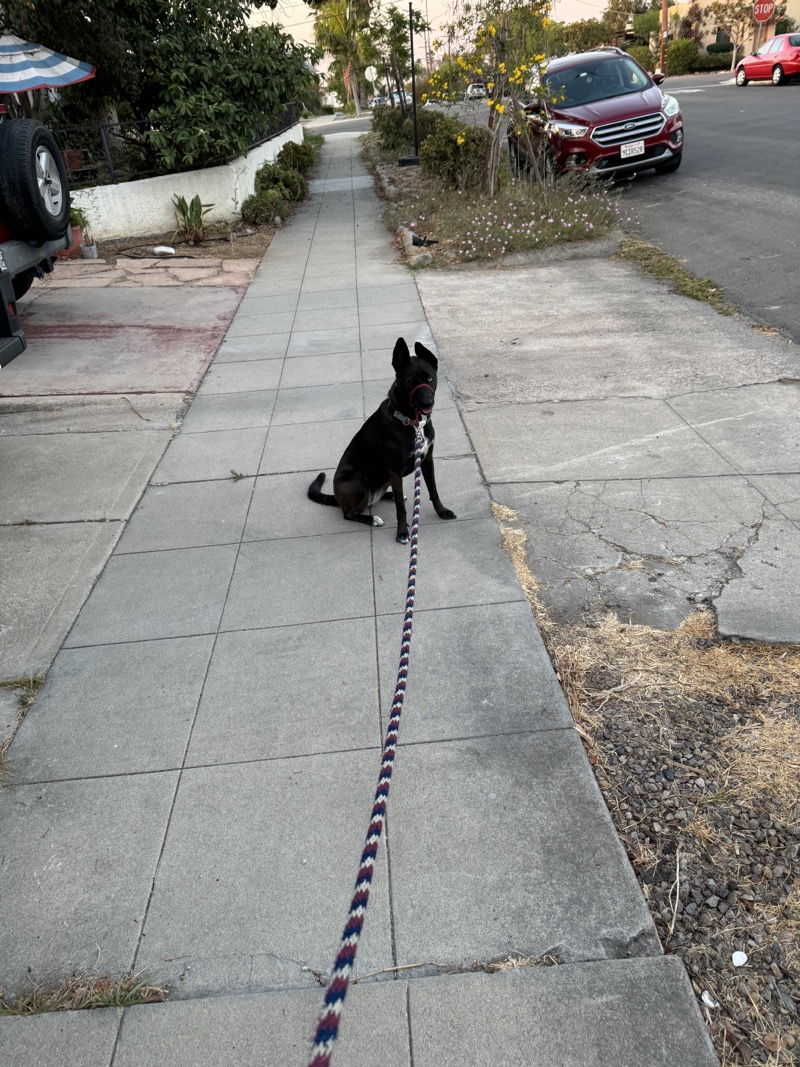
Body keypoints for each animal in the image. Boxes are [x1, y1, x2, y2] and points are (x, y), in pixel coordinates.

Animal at [307, 337, 456, 542]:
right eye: (410, 382)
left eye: (430, 379)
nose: (428, 403)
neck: (411, 422)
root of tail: (336, 497)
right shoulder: (395, 470)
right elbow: (401, 509)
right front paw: (402, 532)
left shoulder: (427, 461)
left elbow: (434, 491)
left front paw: (442, 511)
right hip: (357, 478)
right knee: (349, 514)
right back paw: (371, 519)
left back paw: (390, 495)